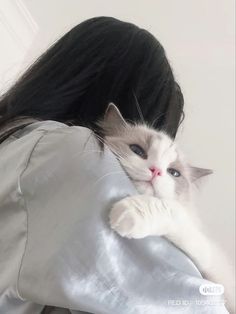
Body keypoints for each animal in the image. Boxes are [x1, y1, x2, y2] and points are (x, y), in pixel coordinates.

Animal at [98, 103, 234, 314]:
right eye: (137, 150)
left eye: (173, 173)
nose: (156, 171)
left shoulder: (205, 255)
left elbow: (170, 209)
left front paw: (127, 214)